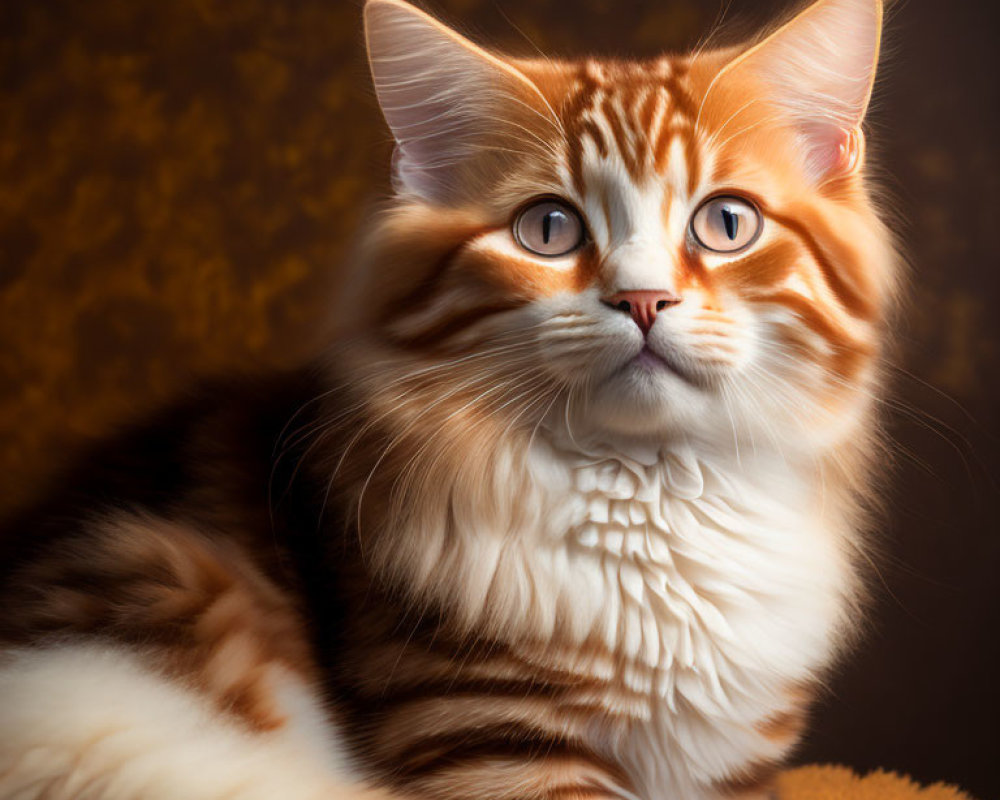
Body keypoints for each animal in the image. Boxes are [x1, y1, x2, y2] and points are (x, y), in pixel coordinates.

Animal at [0, 1, 896, 800]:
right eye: (549, 230)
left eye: (726, 224)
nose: (642, 300)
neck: (650, 487)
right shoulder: (482, 735)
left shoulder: (736, 768)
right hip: (160, 585)